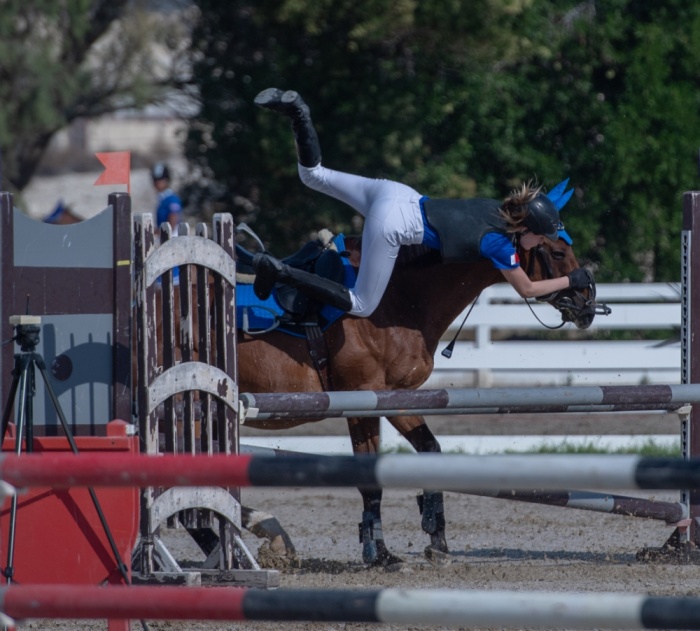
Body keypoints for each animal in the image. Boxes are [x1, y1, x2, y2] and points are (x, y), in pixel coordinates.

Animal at [235, 235, 600, 572]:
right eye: (558, 253)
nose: (589, 304)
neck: (397, 301)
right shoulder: (363, 400)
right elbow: (370, 480)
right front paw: (381, 556)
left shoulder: (397, 398)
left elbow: (430, 450)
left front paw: (436, 540)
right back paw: (268, 536)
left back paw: (268, 536)